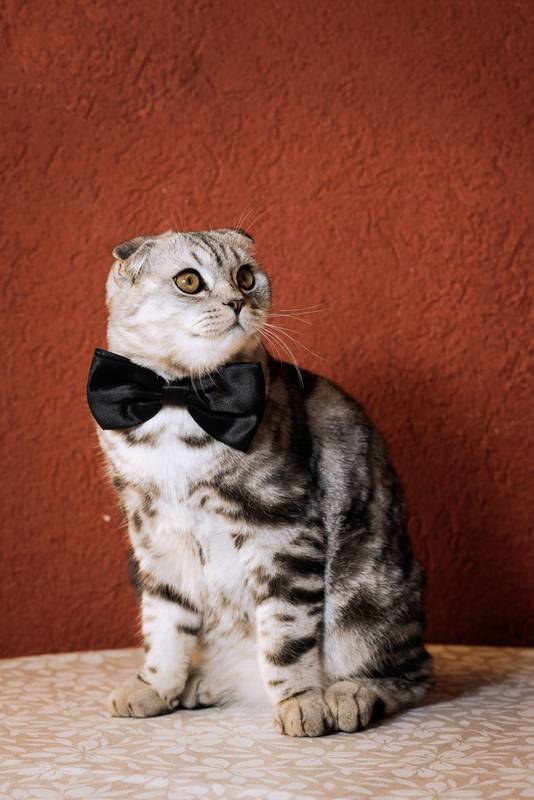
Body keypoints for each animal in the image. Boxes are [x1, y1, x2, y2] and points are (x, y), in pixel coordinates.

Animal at [92, 228, 434, 737]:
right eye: (189, 281)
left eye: (246, 277)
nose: (237, 301)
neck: (177, 401)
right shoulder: (154, 538)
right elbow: (165, 625)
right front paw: (154, 686)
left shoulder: (283, 532)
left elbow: (285, 638)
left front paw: (300, 703)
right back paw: (204, 685)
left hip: (365, 600)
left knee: (411, 673)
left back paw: (347, 695)